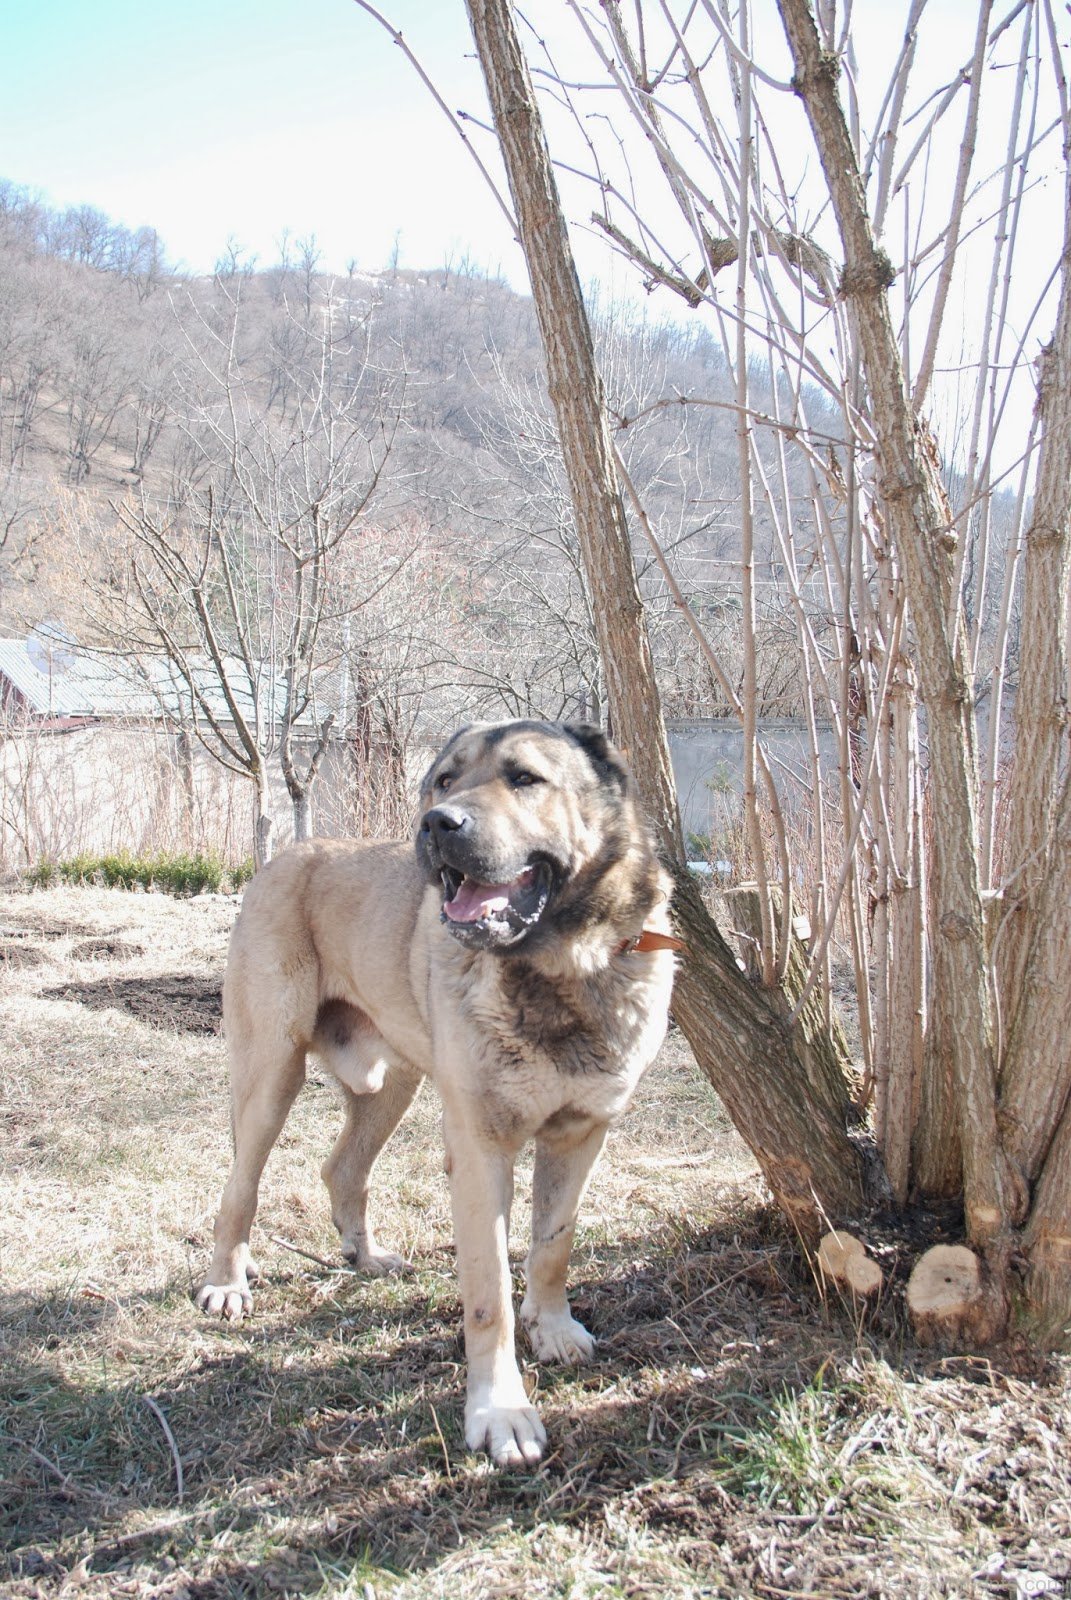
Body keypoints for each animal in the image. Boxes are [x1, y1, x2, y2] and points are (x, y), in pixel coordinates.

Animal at [194, 723, 675, 1465]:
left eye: (525, 779)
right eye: (445, 780)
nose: (437, 823)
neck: (557, 966)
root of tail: (288, 854)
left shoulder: (580, 1135)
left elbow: (553, 1245)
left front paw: (554, 1327)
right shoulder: (480, 1149)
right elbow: (488, 1293)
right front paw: (500, 1411)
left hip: (392, 1084)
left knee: (343, 1169)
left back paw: (366, 1257)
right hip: (270, 1073)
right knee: (238, 1190)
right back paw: (226, 1284)